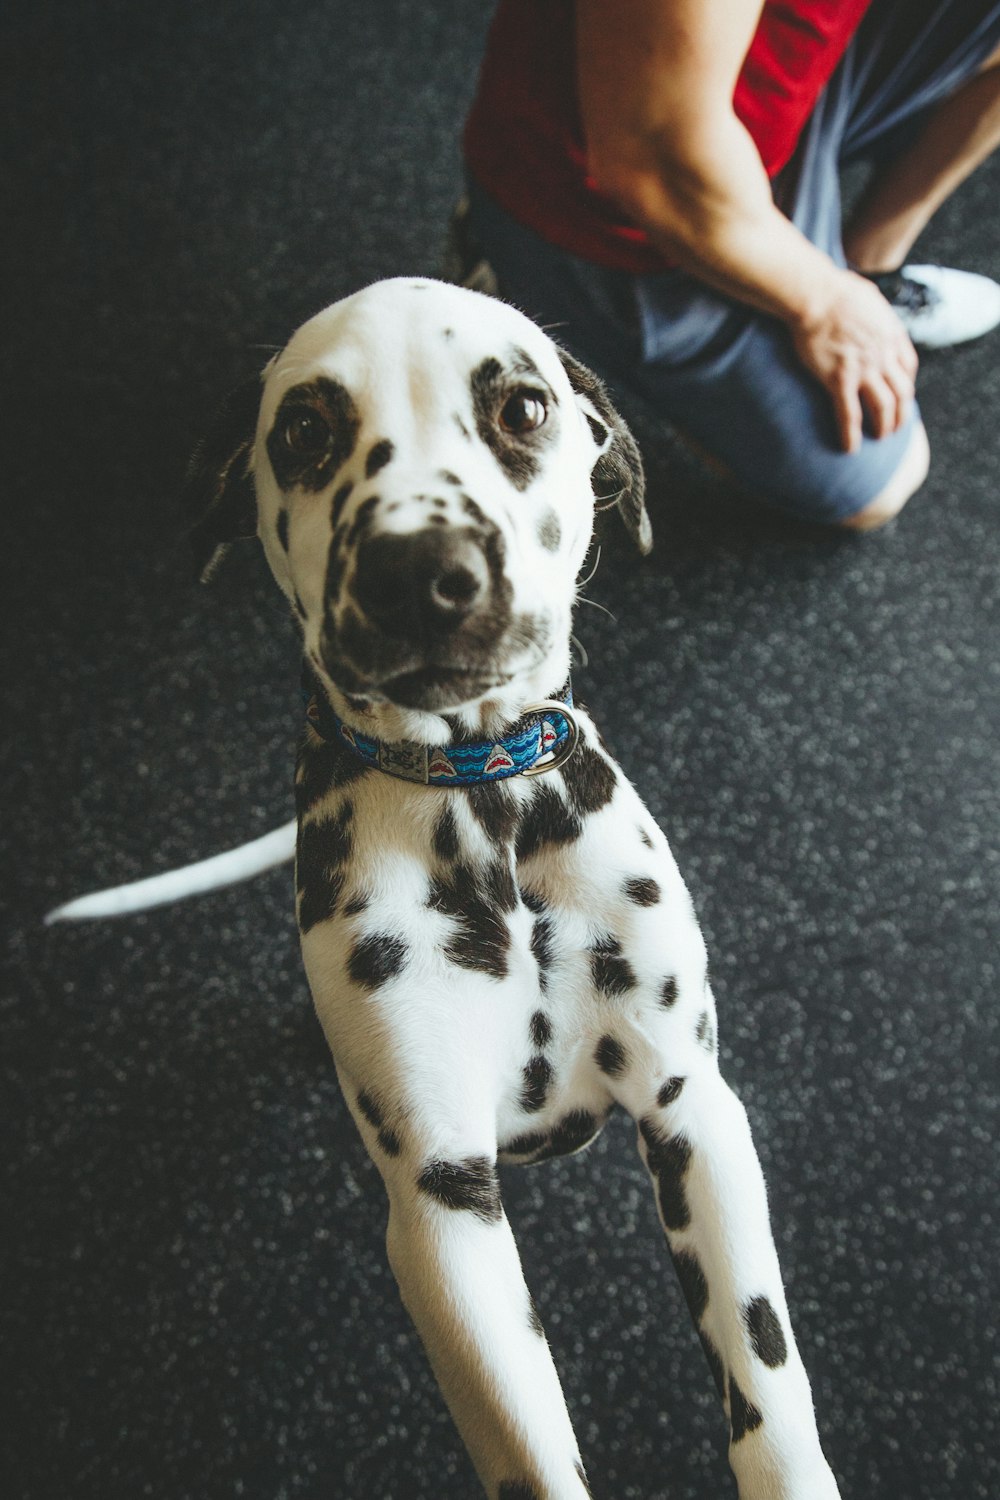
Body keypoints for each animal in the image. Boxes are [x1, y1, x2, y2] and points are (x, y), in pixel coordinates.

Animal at [89, 282, 845, 1500]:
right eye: (303, 432)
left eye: (522, 407)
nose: (417, 570)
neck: (485, 812)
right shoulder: (444, 1206)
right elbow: (534, 1458)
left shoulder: (694, 1110)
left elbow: (768, 1389)